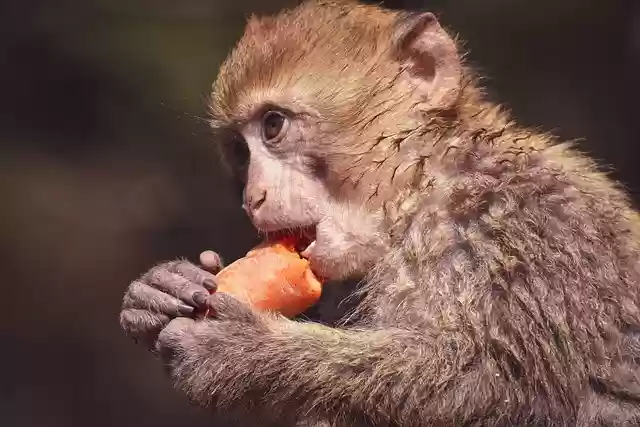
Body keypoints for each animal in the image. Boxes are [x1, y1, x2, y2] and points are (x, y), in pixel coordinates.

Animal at [119, 1, 640, 426]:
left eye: (272, 126)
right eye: (238, 152)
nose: (253, 197)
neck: (419, 192)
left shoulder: (521, 224)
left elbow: (502, 391)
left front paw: (243, 352)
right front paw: (164, 288)